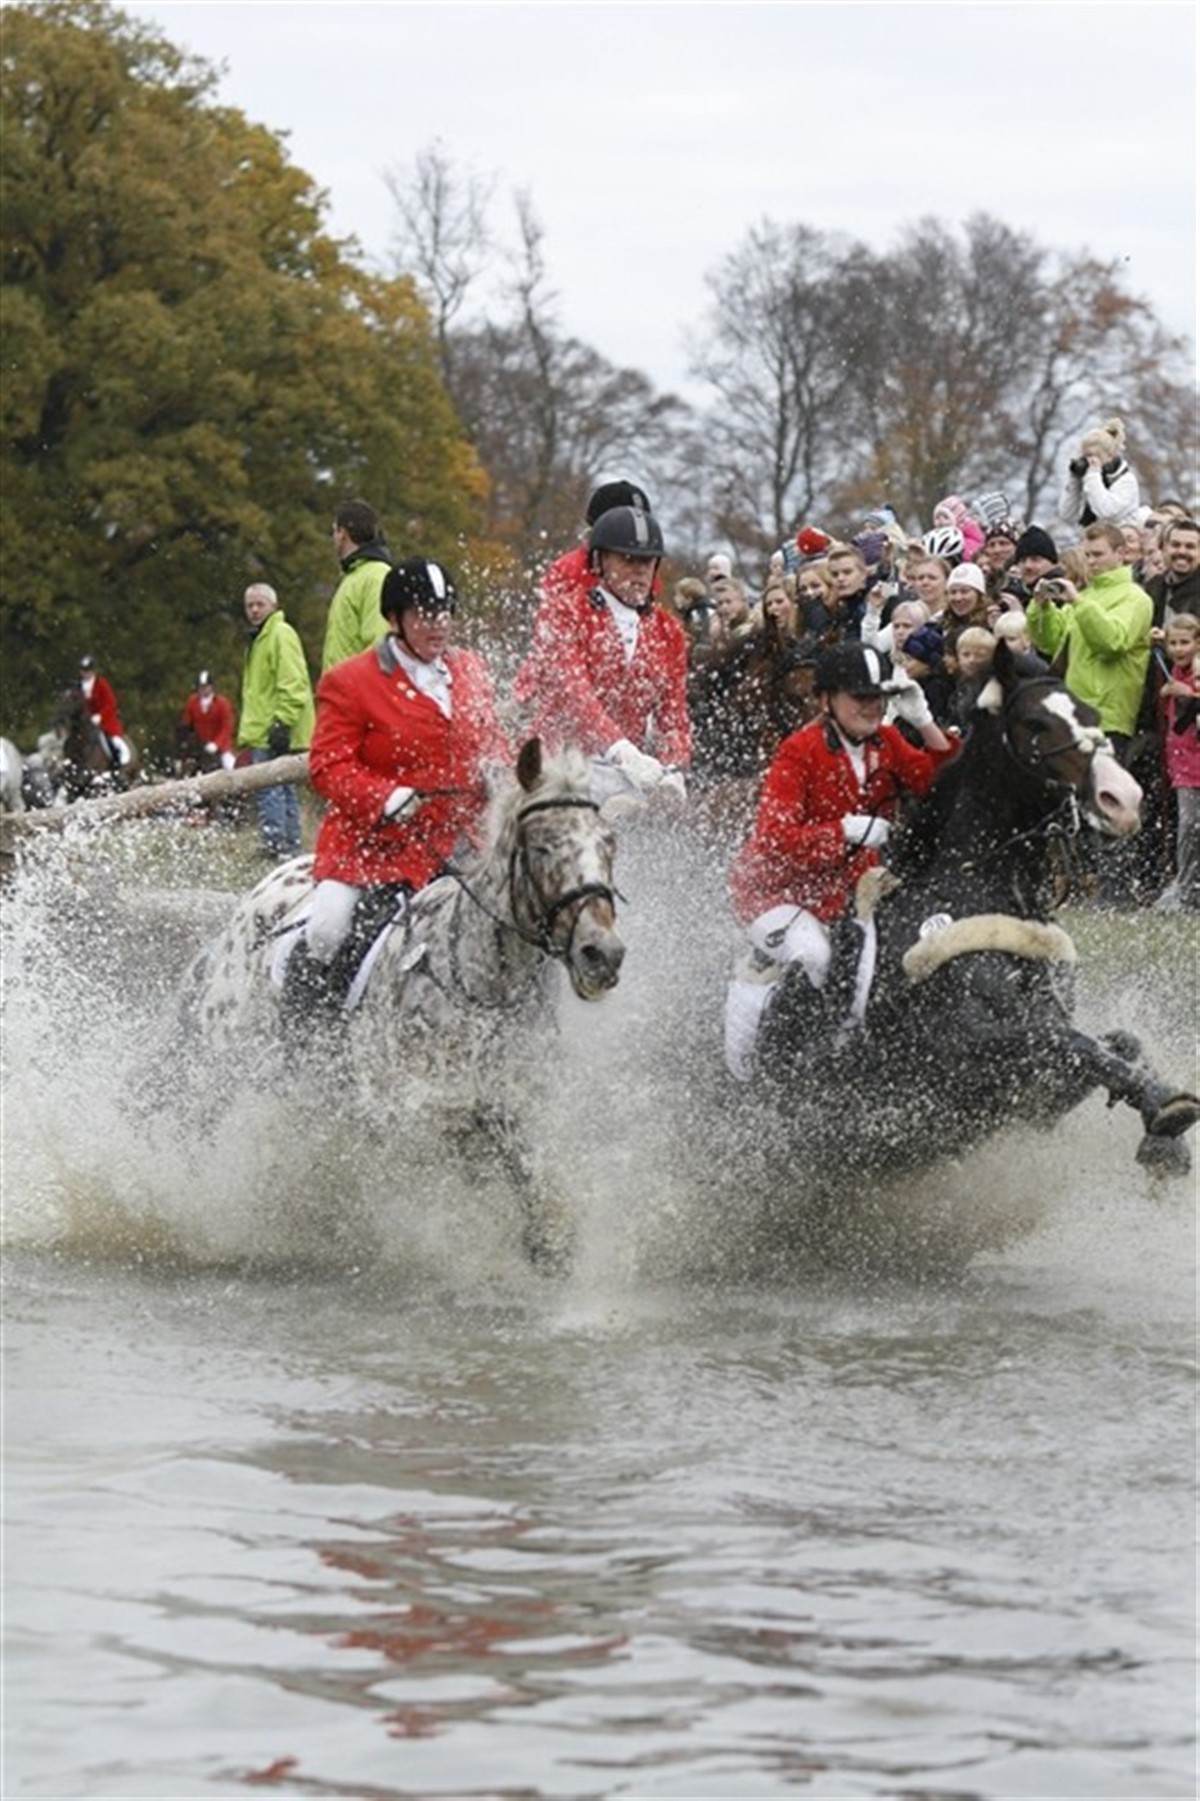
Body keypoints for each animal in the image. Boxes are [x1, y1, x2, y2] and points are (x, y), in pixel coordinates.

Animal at [173, 739, 625, 1269]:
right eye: (543, 847)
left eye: (609, 844)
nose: (603, 954)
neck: (480, 983)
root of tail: (259, 894)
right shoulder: (410, 1116)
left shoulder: (513, 1105)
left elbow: (528, 1169)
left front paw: (547, 1242)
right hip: (224, 1056)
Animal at [756, 641, 1200, 1179]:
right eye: (1035, 724)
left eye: (1092, 715)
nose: (1125, 800)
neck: (972, 890)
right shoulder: (956, 1043)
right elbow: (1062, 1039)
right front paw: (1164, 1104)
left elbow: (1116, 1042)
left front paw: (1164, 1138)